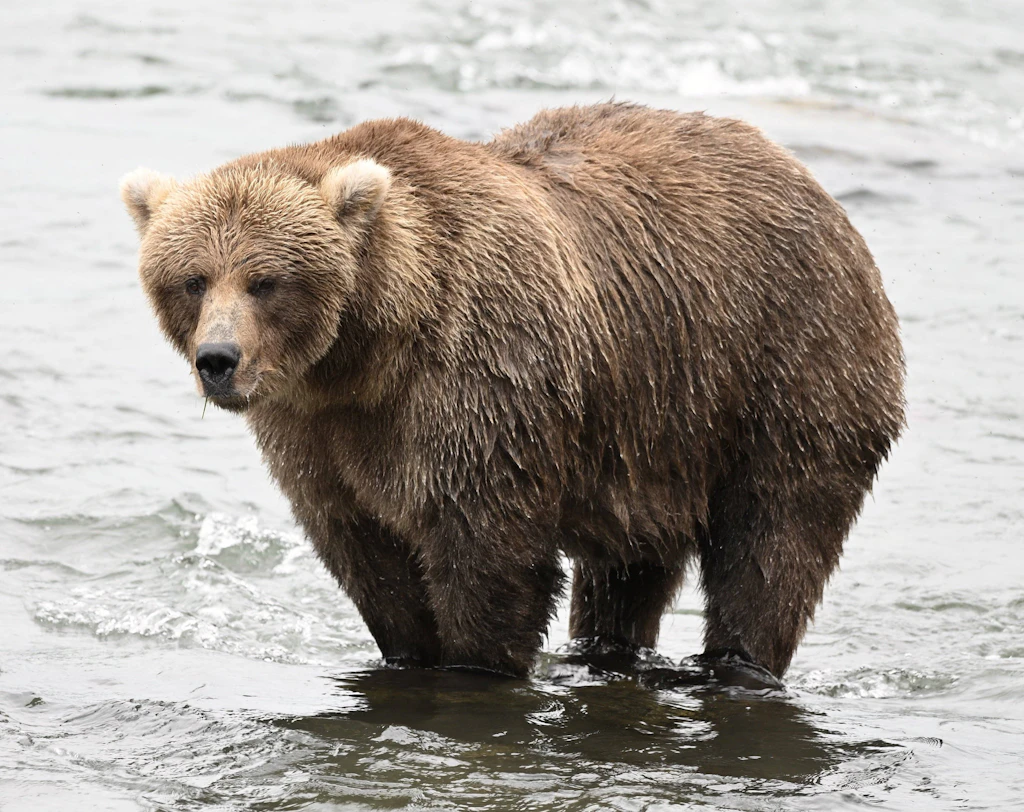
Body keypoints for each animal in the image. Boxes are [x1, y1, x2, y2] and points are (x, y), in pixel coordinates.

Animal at [121, 103, 905, 679]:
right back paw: (605, 653)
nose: (218, 360)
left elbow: (489, 554)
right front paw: (407, 653)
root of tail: (814, 186)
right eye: (192, 278)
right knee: (628, 565)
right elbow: (367, 553)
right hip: (655, 424)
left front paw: (474, 665)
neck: (368, 352)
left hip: (786, 365)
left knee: (773, 539)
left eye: (265, 280)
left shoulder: (479, 379)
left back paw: (736, 663)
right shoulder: (317, 428)